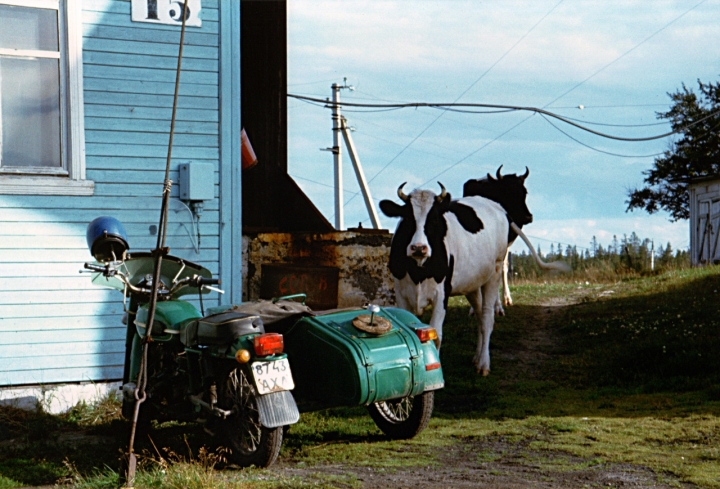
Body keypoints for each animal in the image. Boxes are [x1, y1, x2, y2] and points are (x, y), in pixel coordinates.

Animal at [382, 177, 568, 376]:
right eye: (407, 218)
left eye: (434, 219)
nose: (418, 248)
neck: (419, 271)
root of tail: (498, 207)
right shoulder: (401, 294)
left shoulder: (441, 294)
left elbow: (437, 335)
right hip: (472, 285)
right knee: (479, 316)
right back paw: (477, 357)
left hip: (494, 272)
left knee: (487, 318)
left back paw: (484, 364)